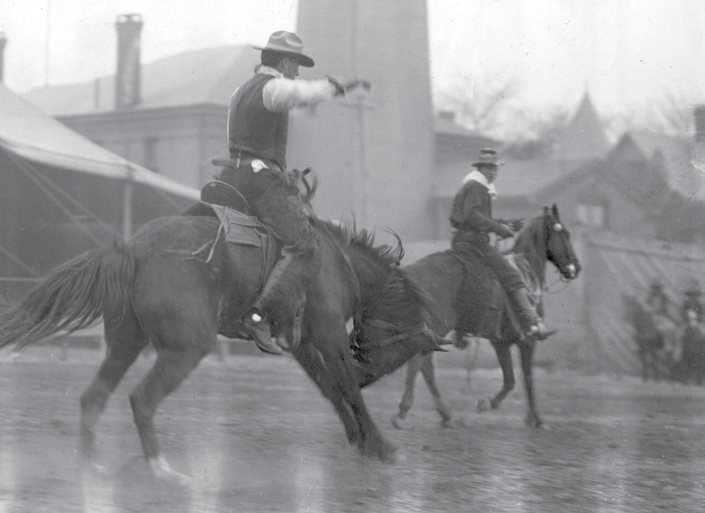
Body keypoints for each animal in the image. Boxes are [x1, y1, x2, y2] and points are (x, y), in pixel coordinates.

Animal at [0, 207, 440, 476]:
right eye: (399, 353)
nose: (369, 373)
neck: (336, 263)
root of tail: (133, 249)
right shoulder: (328, 331)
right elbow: (345, 385)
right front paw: (380, 445)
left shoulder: (300, 342)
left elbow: (330, 388)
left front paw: (357, 439)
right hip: (185, 349)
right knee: (142, 399)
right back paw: (161, 469)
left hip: (126, 343)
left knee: (94, 397)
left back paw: (90, 467)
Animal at [390, 204, 576, 428]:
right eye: (565, 234)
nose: (576, 267)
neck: (526, 270)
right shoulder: (526, 341)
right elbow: (526, 376)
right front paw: (535, 418)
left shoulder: (501, 342)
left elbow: (510, 379)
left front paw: (495, 405)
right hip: (437, 326)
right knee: (419, 363)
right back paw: (403, 412)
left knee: (425, 367)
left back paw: (446, 415)